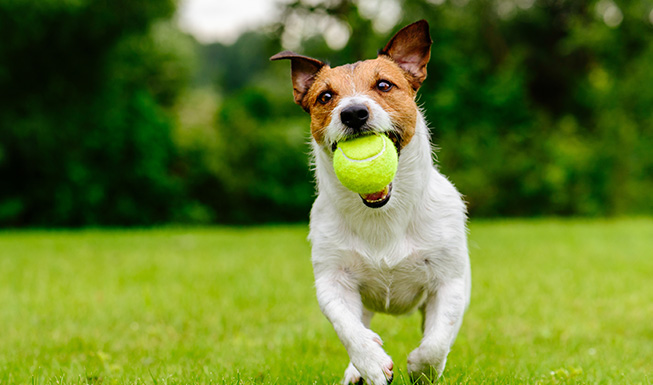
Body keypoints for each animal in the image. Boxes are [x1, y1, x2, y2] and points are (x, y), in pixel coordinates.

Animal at [268, 19, 468, 382]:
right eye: (326, 96)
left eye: (384, 85)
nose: (354, 113)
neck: (382, 214)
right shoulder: (332, 280)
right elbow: (347, 327)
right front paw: (371, 361)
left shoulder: (450, 282)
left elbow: (436, 342)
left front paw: (421, 368)